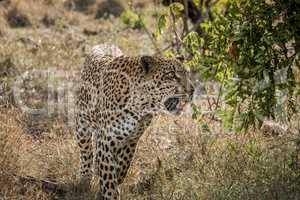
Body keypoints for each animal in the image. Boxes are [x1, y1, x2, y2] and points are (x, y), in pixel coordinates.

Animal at [74, 44, 193, 200]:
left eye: (187, 74)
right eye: (172, 75)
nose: (192, 90)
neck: (141, 105)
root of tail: (104, 45)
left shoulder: (132, 139)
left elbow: (122, 166)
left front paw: (112, 184)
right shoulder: (105, 139)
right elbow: (108, 174)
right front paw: (110, 193)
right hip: (82, 125)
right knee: (86, 152)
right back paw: (84, 179)